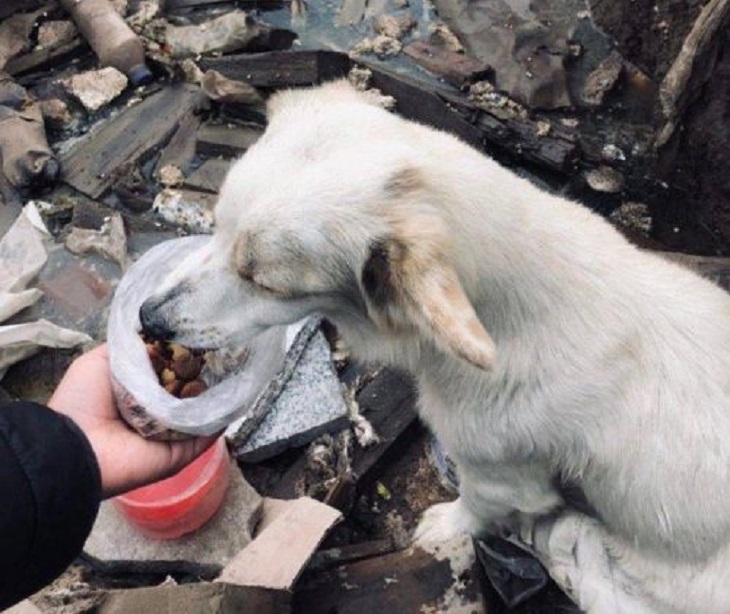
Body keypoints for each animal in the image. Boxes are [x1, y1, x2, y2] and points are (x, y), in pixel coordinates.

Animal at [141, 80, 730, 612]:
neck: (502, 322)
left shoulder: (501, 475)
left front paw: (445, 527)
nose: (150, 318)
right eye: (216, 227)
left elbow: (475, 506)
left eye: (262, 281)